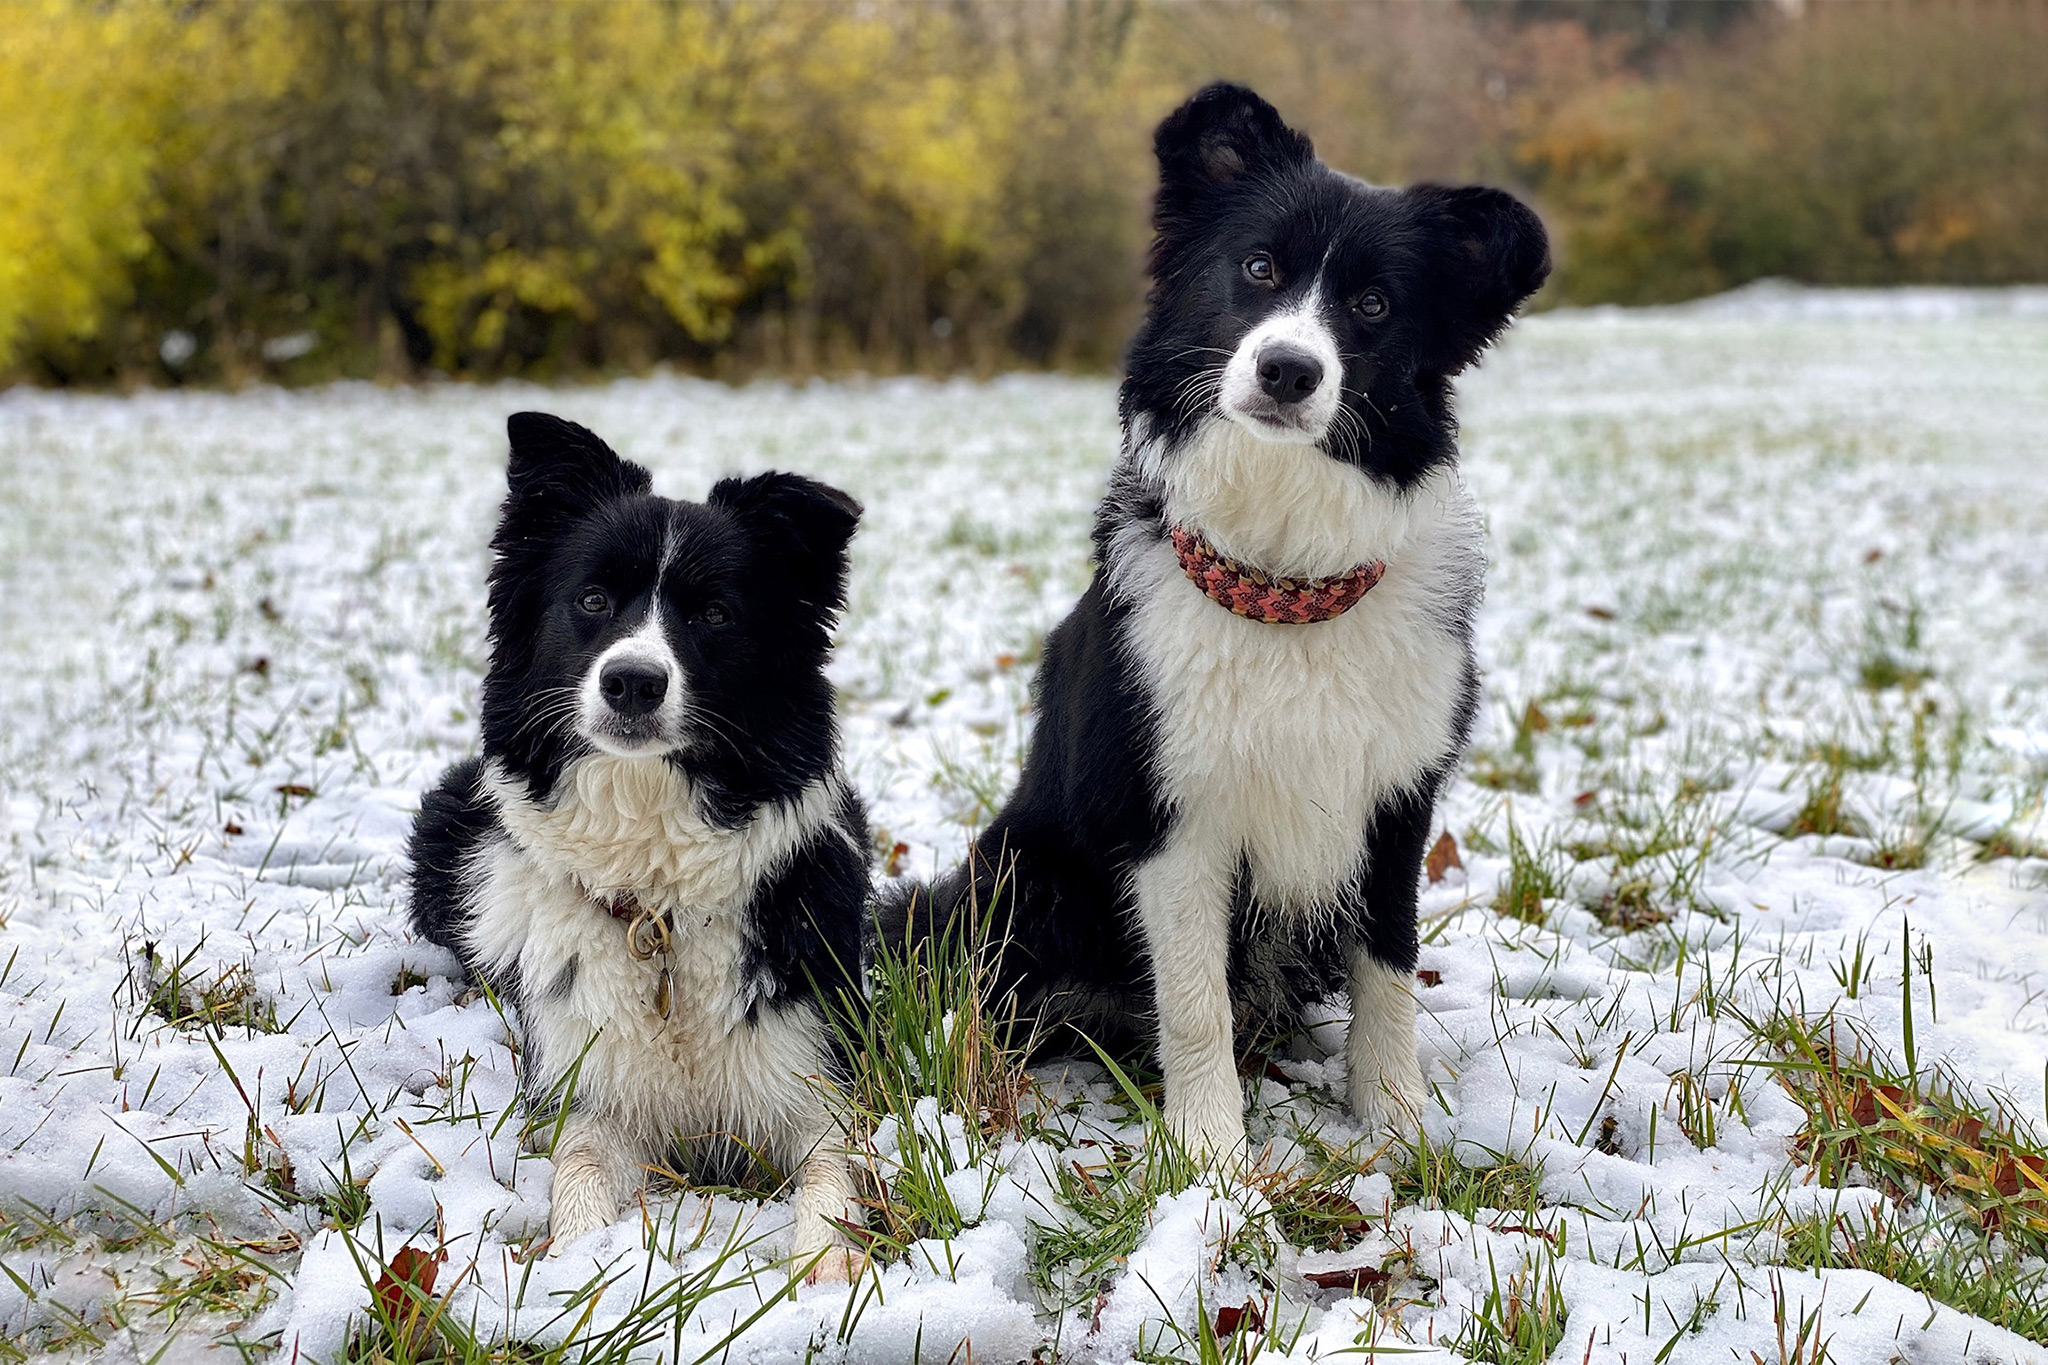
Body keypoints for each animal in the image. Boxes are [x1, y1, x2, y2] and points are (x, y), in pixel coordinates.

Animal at [888, 80, 1540, 1162]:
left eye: (1373, 305)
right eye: (1258, 266)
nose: (1287, 370)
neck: (1283, 582)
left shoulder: (1394, 803)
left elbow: (1389, 971)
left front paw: (1393, 1120)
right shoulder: (1170, 815)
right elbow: (1194, 1003)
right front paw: (1208, 1157)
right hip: (1025, 873)